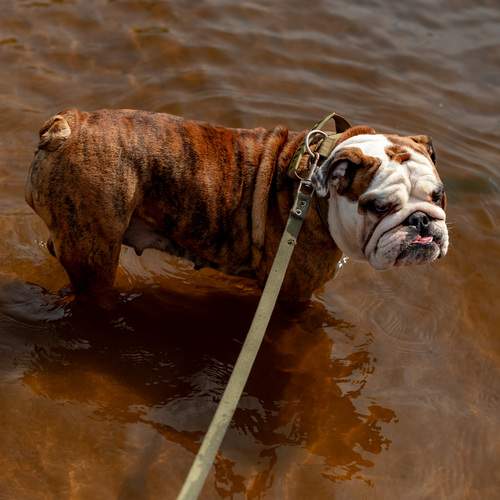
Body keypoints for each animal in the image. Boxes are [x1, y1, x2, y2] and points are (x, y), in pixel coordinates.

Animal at [25, 109, 449, 301]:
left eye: (438, 196)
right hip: (94, 251)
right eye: (379, 207)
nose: (422, 223)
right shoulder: (294, 294)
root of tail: (66, 125)